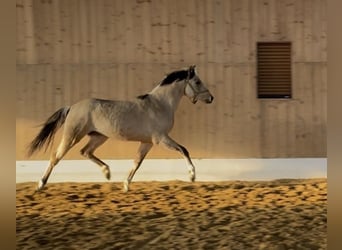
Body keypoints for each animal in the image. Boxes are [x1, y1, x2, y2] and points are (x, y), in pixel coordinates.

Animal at [28, 64, 214, 191]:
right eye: (197, 82)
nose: (211, 98)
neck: (160, 104)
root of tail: (71, 107)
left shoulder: (147, 142)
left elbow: (137, 162)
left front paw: (125, 184)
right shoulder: (161, 139)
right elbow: (184, 150)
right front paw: (192, 175)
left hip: (99, 136)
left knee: (85, 152)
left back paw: (107, 172)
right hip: (73, 136)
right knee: (56, 156)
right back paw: (40, 183)